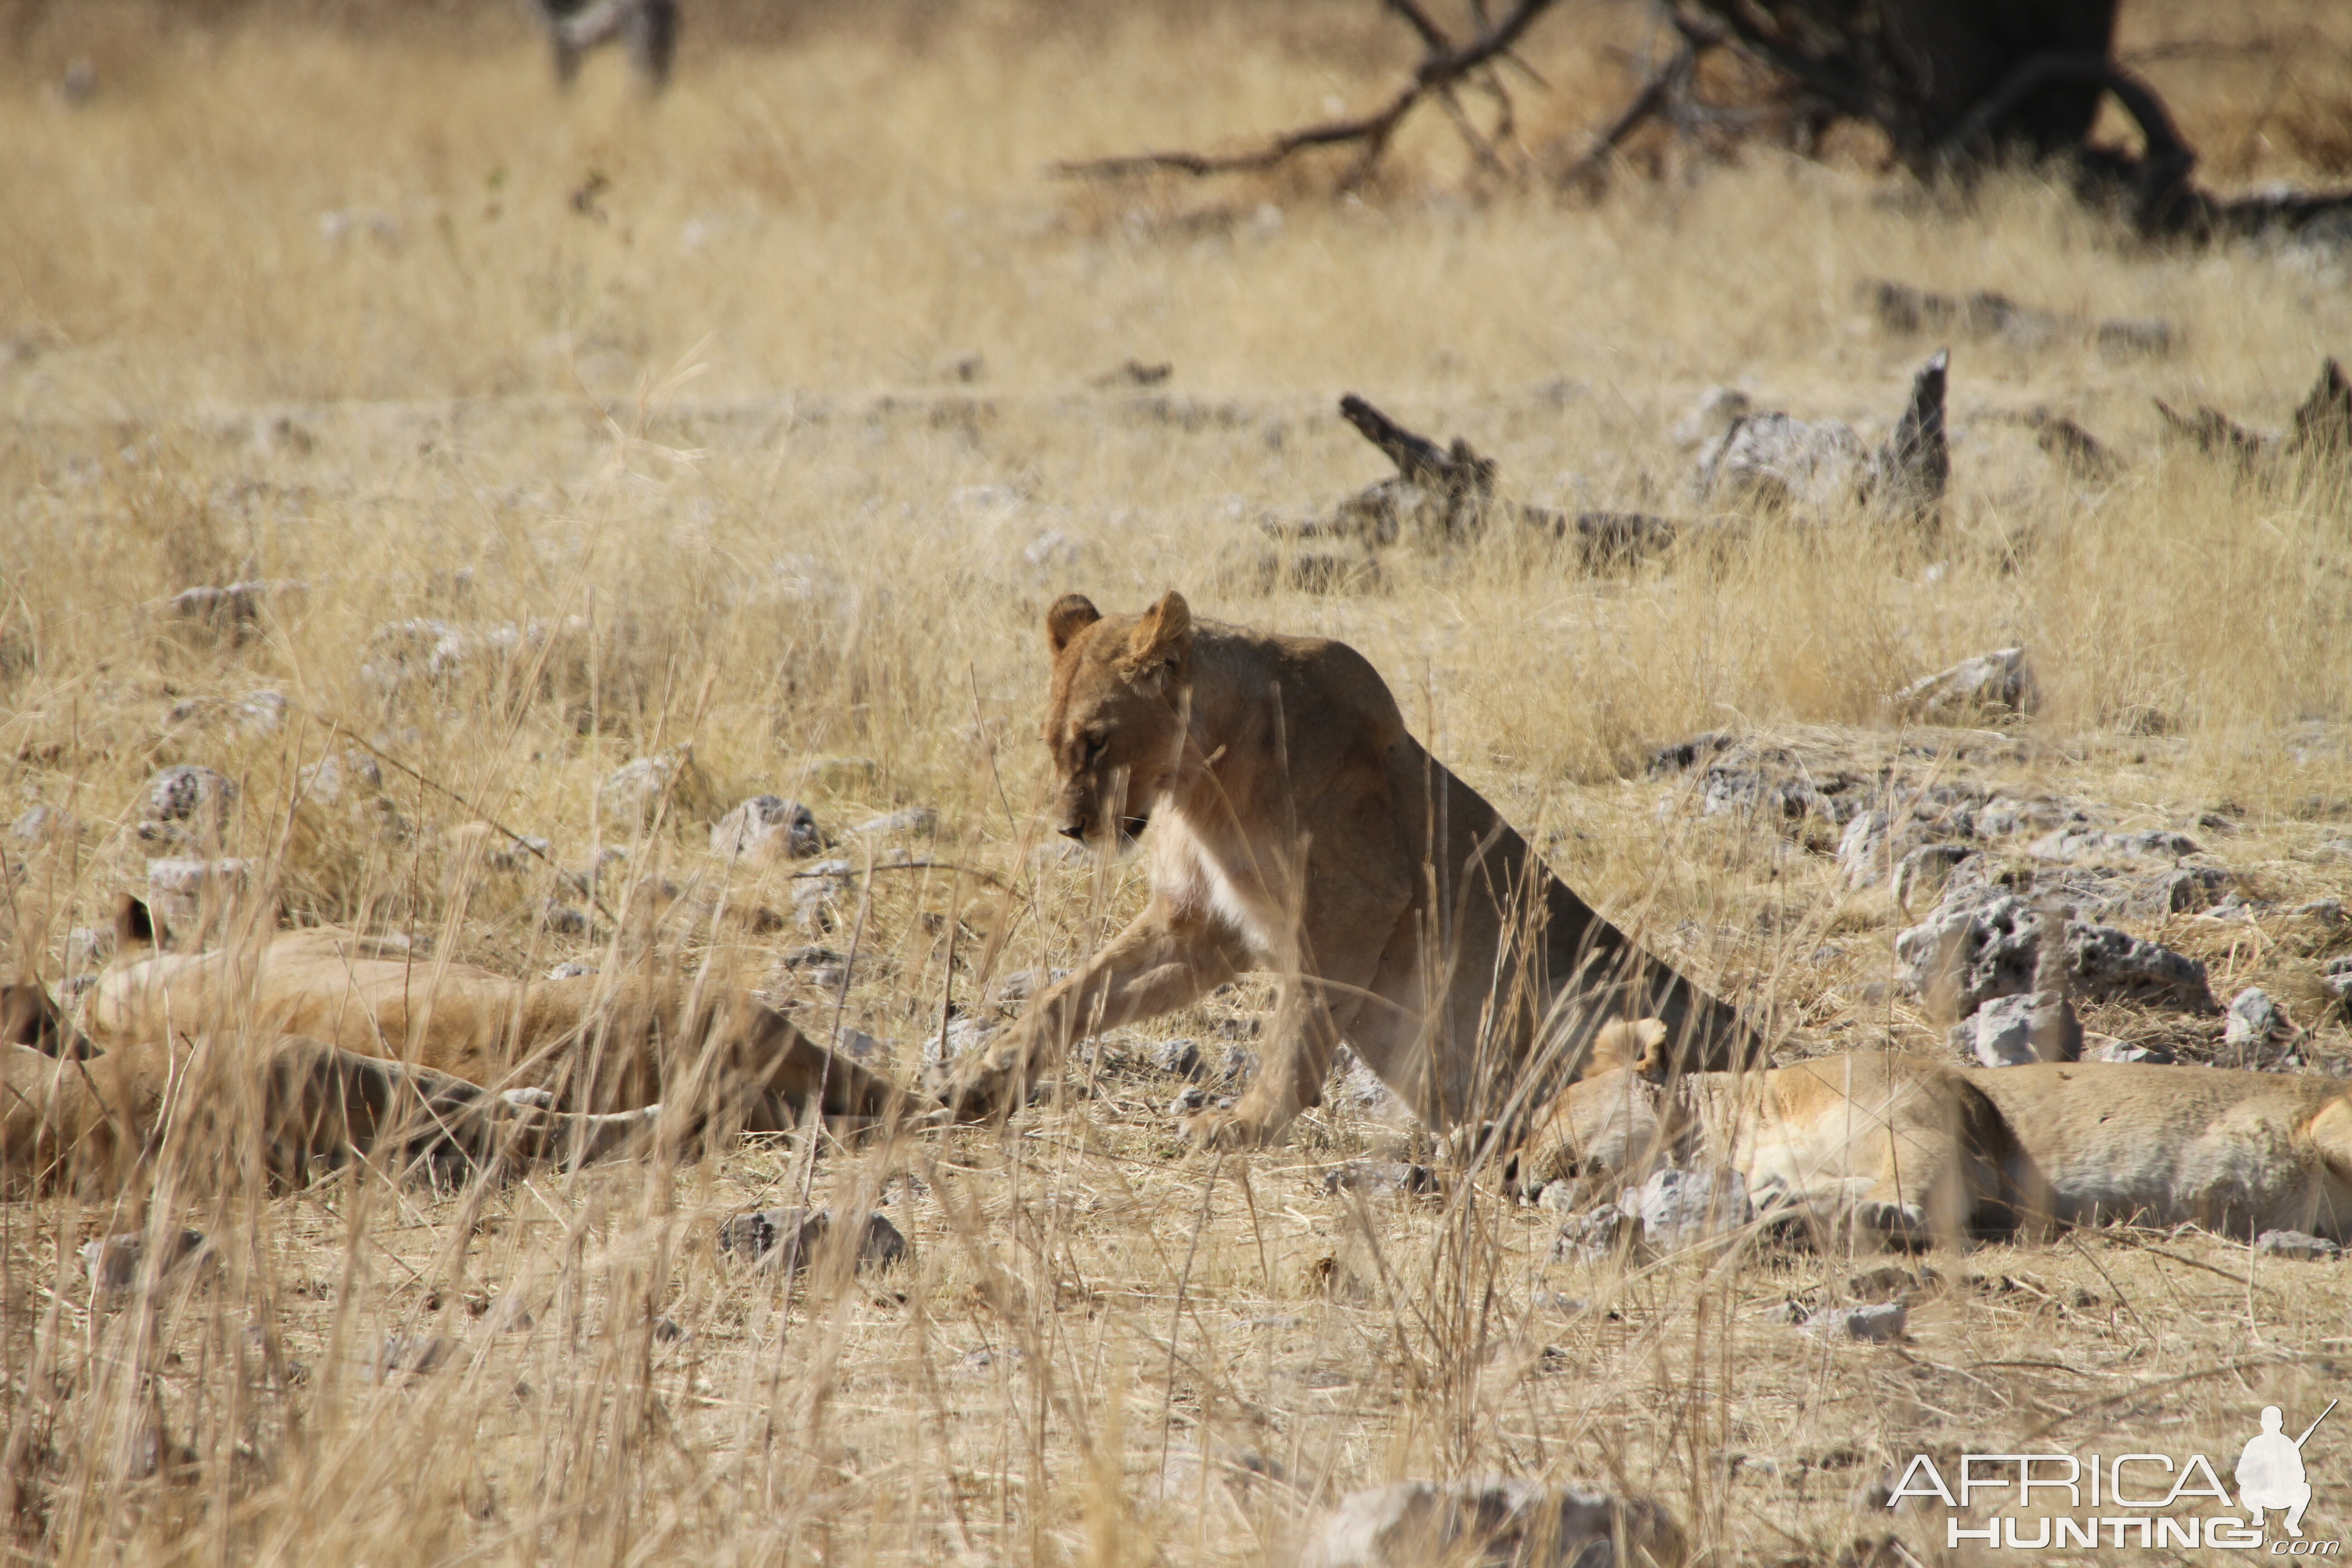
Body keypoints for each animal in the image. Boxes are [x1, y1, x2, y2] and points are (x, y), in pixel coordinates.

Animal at [936, 594, 1769, 1147]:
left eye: (1097, 741)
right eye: (1054, 742)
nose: (1069, 829)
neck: (1202, 781)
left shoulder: (1353, 903)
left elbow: (1297, 1028)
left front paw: (1241, 1125)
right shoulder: (1199, 924)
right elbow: (1070, 995)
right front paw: (984, 1077)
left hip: (1582, 987)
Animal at [1505, 1029, 2352, 1250]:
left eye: (1546, 1110)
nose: (1509, 1167)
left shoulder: (1942, 1129)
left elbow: (1909, 1193)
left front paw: (1851, 1215)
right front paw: (1781, 1208)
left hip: (2334, 1123)